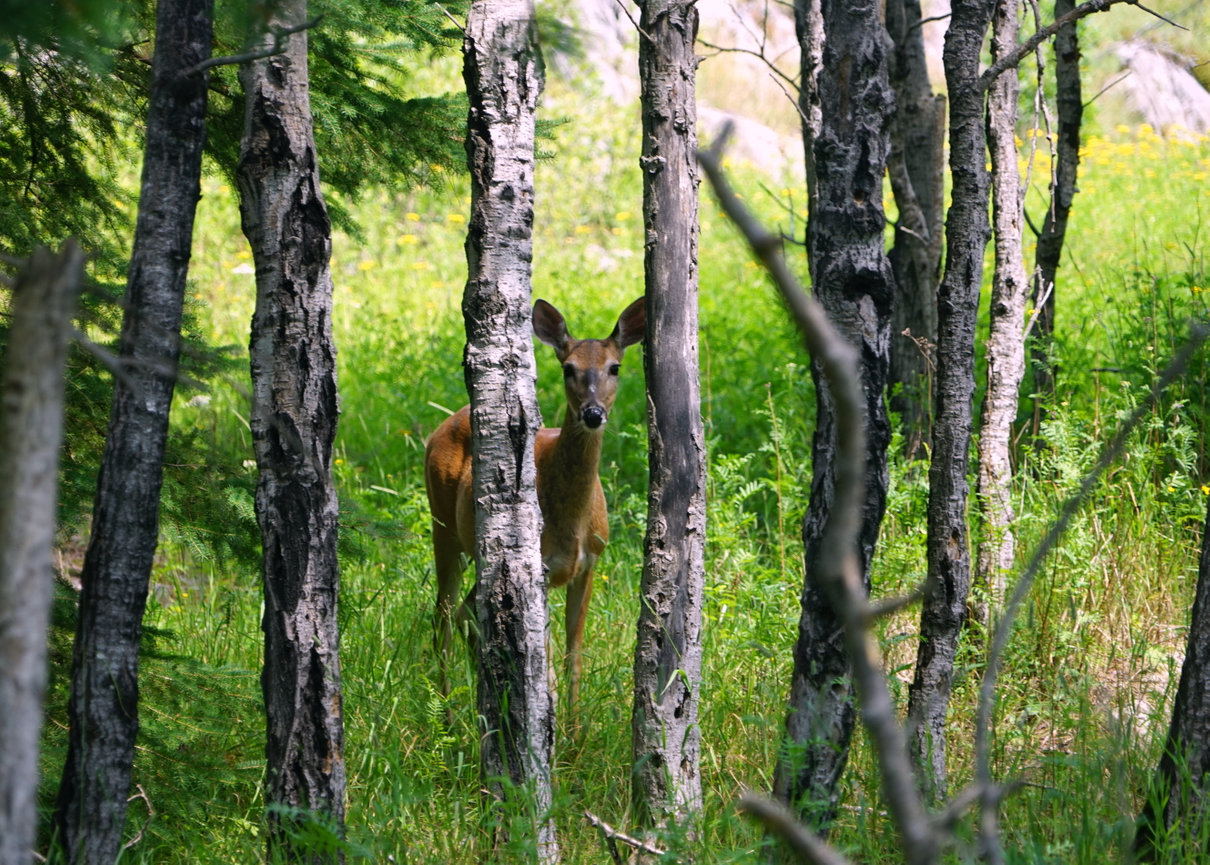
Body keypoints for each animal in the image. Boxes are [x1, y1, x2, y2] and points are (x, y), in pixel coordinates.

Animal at [424, 296, 646, 715]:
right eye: (568, 368)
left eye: (615, 367)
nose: (593, 413)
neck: (572, 522)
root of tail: (439, 428)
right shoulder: (537, 566)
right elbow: (546, 662)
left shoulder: (590, 563)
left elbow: (573, 657)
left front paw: (575, 731)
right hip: (442, 526)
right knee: (442, 615)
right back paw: (445, 712)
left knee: (465, 613)